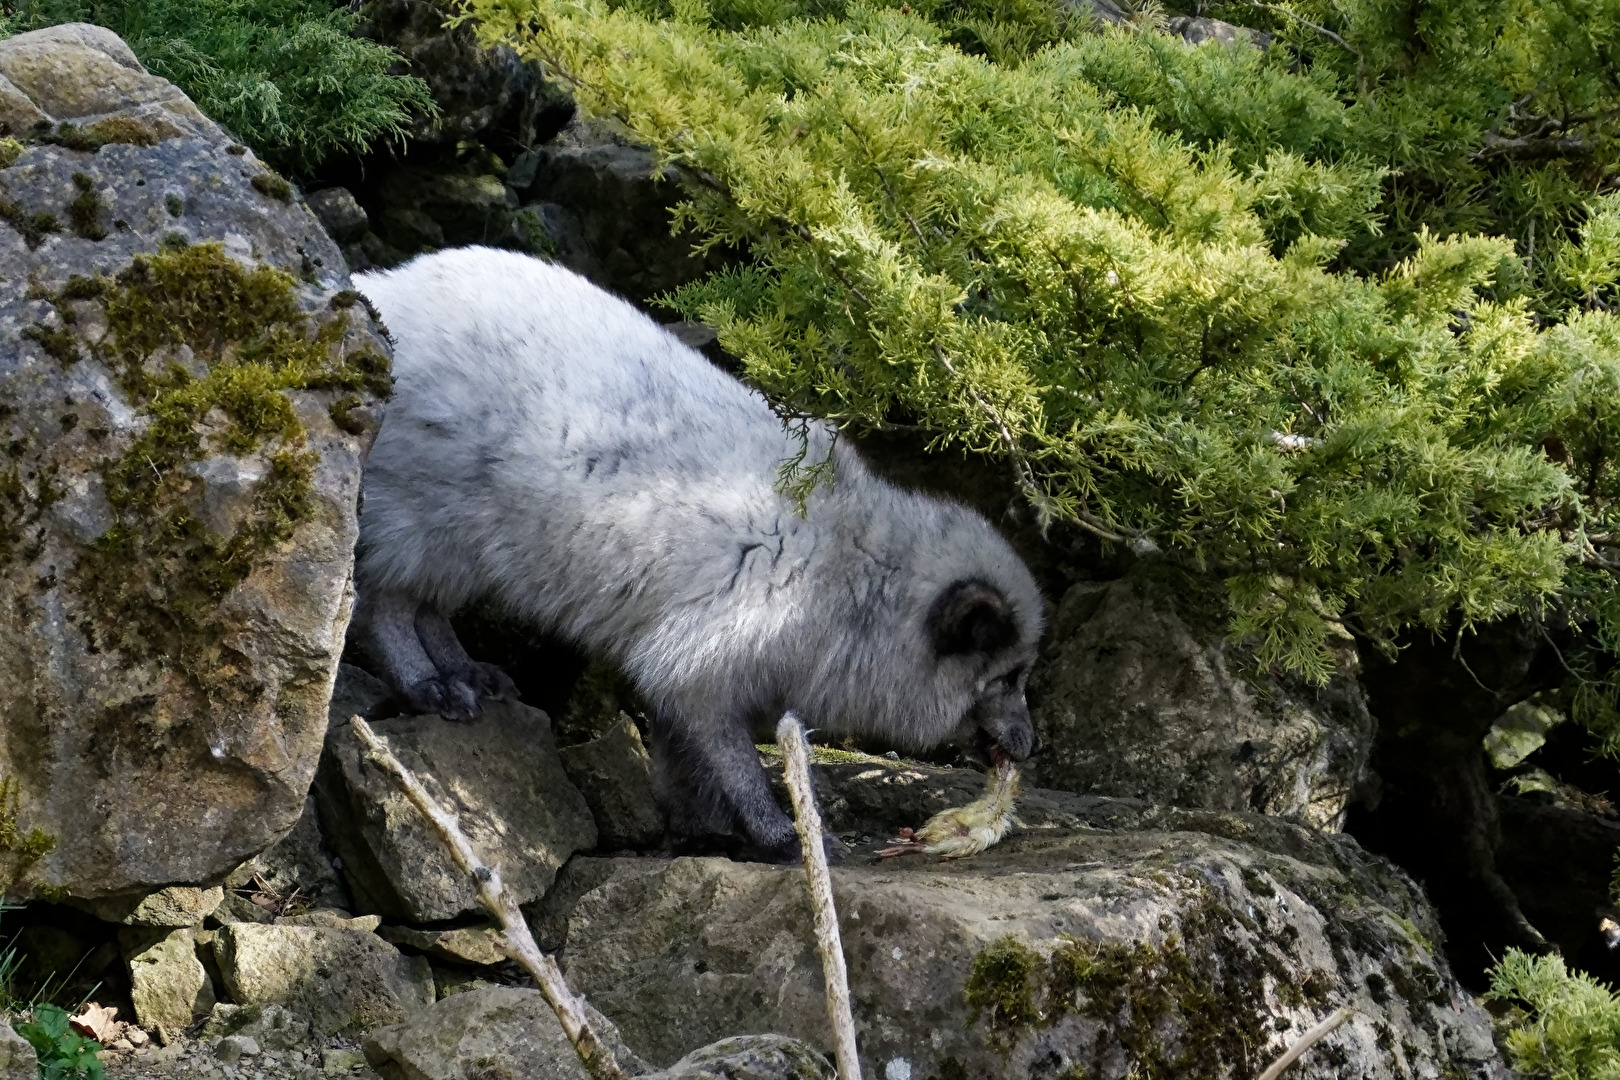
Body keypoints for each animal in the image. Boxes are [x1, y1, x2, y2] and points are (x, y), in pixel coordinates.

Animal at [349, 247, 1043, 862]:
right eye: (1007, 678)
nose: (1032, 746)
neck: (856, 575)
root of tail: (382, 289)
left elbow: (687, 767)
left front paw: (701, 830)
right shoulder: (699, 673)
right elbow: (735, 766)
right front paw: (783, 838)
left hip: (463, 550)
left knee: (425, 606)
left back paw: (466, 672)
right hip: (433, 523)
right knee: (384, 603)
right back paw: (428, 684)